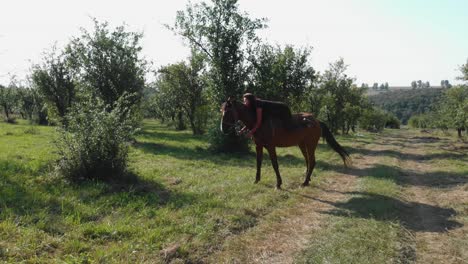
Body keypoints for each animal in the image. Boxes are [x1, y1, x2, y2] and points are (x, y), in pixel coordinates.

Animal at [220, 98, 352, 189]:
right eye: (222, 111)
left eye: (228, 112)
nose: (223, 129)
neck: (259, 120)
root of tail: (317, 121)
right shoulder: (259, 146)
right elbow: (258, 163)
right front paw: (256, 180)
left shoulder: (271, 147)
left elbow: (275, 164)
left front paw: (278, 184)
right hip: (302, 145)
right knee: (308, 161)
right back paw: (307, 179)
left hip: (310, 145)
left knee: (312, 161)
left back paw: (305, 182)